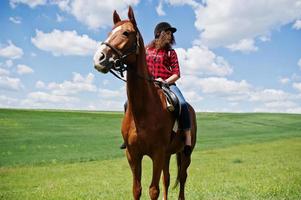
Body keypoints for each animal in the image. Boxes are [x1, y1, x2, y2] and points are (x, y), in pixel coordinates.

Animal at [94, 6, 197, 200]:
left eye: (126, 33)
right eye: (110, 32)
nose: (99, 58)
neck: (143, 110)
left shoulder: (157, 153)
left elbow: (153, 190)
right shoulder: (133, 155)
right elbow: (137, 189)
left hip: (185, 153)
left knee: (183, 177)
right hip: (168, 154)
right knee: (167, 178)